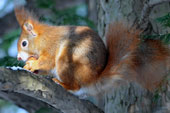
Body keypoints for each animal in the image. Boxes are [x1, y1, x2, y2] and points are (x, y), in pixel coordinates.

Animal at [14, 7, 169, 96]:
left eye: (24, 43)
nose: (19, 58)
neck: (42, 38)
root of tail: (93, 78)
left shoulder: (51, 46)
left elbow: (47, 61)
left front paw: (33, 64)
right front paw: (30, 65)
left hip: (66, 61)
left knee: (76, 86)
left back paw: (61, 83)